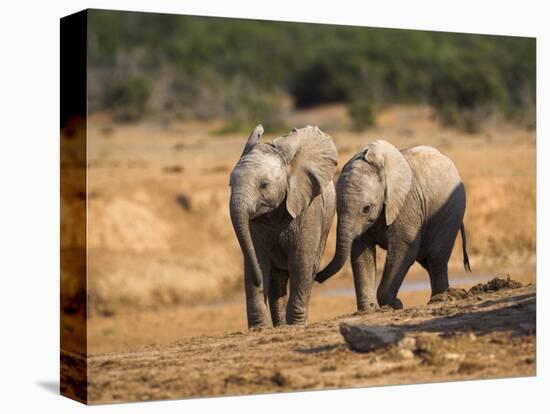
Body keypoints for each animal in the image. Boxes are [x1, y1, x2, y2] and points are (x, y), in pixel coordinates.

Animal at [230, 124, 340, 328]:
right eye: (230, 184)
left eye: (264, 185)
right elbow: (257, 259)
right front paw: (259, 328)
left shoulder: (308, 209)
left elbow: (300, 260)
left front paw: (296, 324)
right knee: (277, 278)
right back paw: (279, 325)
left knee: (308, 269)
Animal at [316, 140, 472, 310]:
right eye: (337, 209)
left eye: (366, 208)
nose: (316, 276)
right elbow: (361, 252)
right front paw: (369, 310)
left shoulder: (407, 203)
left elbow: (403, 248)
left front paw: (395, 305)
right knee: (428, 261)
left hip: (451, 212)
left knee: (436, 258)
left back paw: (440, 298)